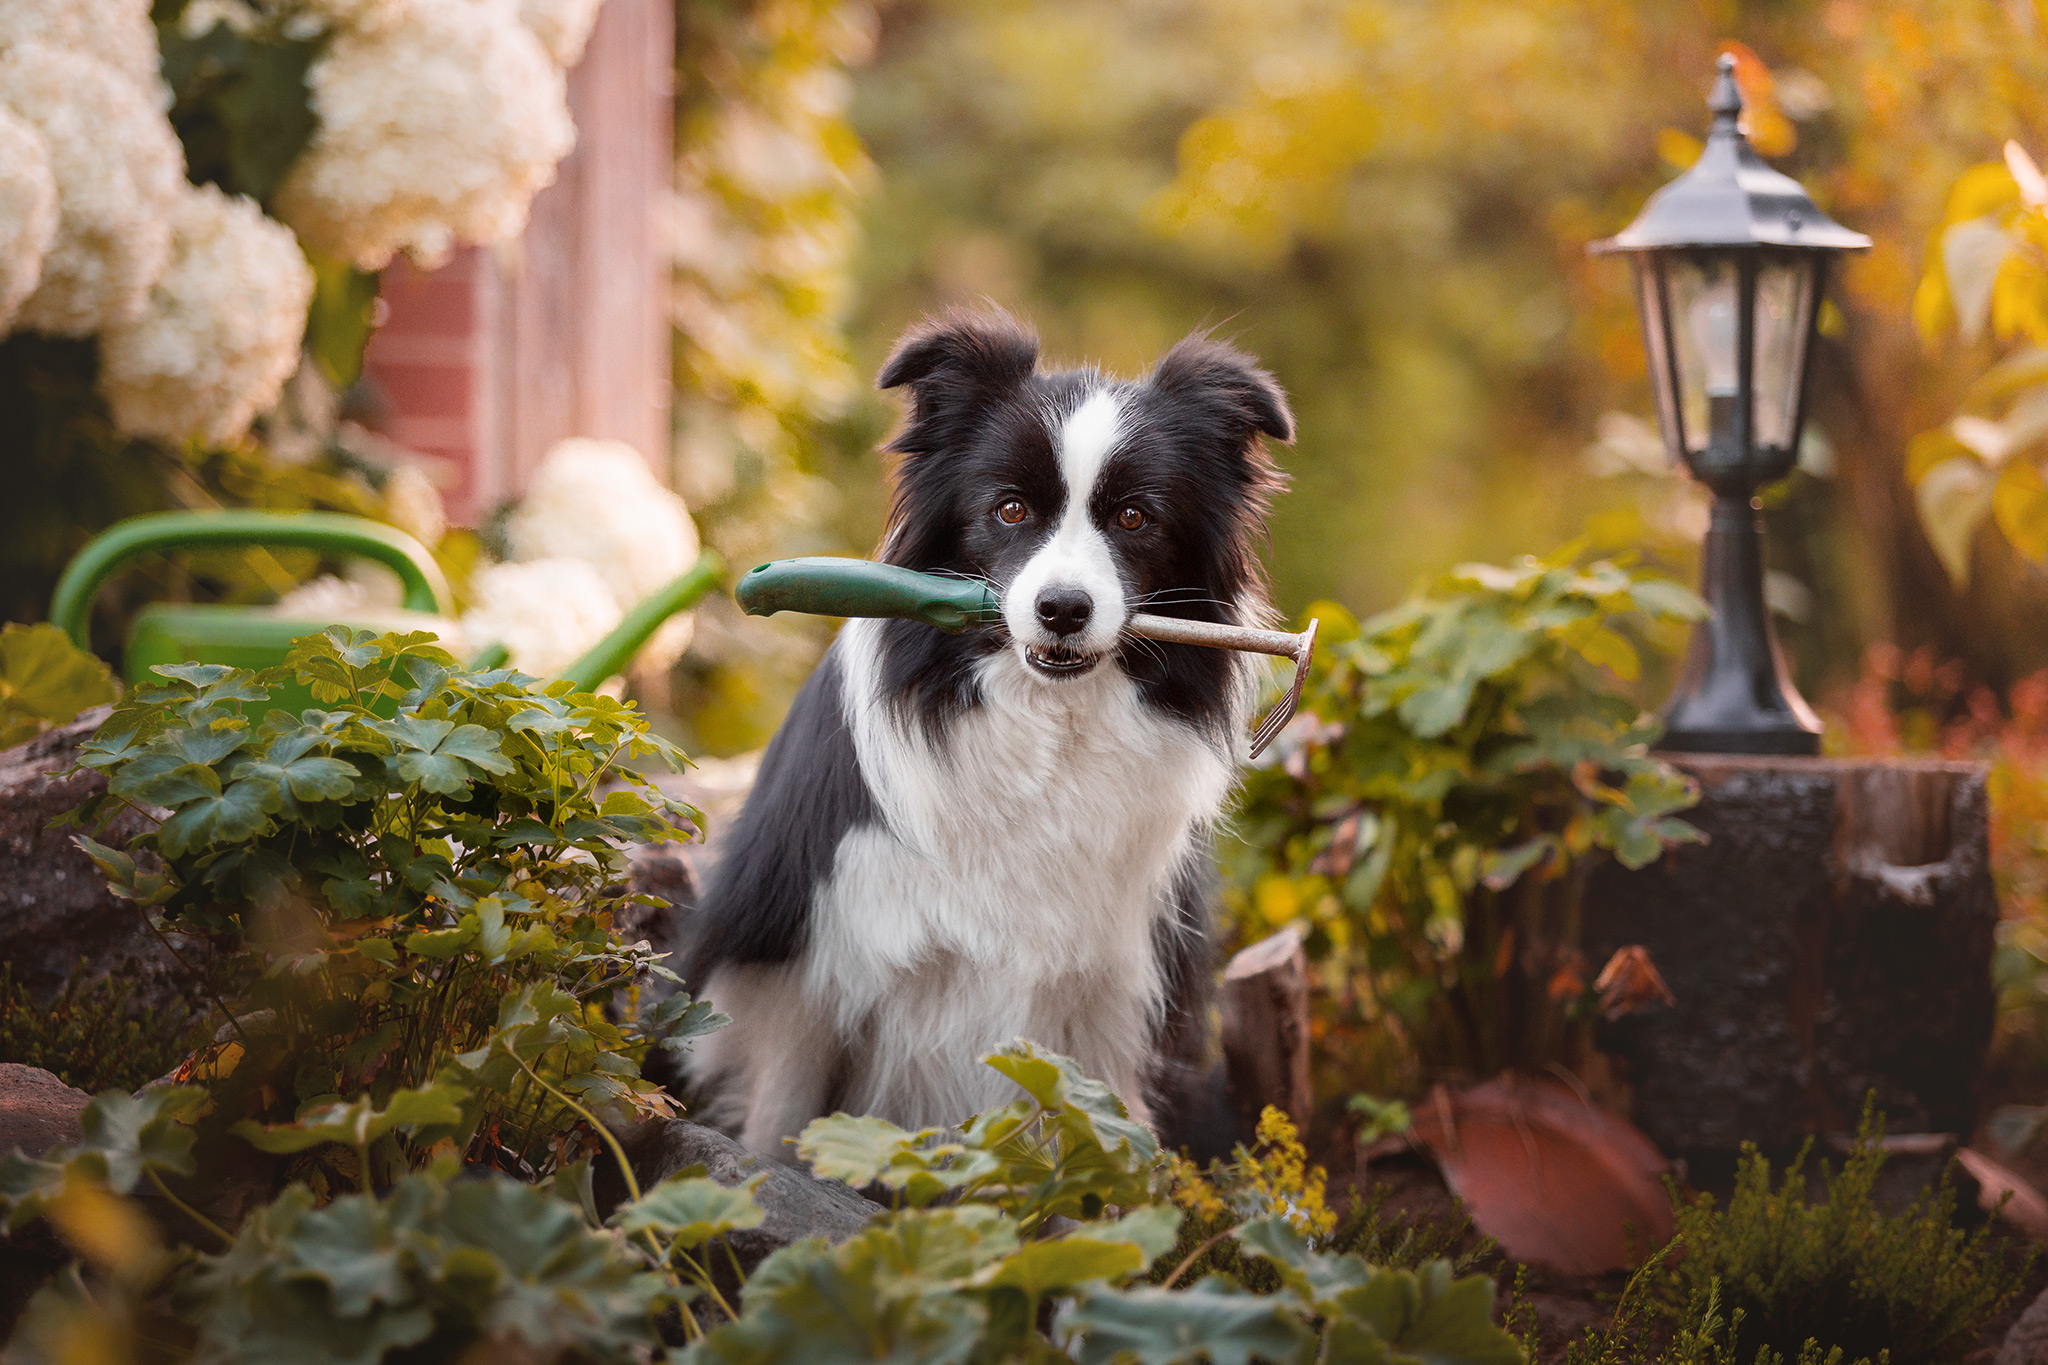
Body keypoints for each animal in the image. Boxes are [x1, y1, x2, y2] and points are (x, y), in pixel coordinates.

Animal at [688, 309, 1294, 1154]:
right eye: (1009, 509)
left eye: (1135, 517)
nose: (1063, 609)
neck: (1044, 724)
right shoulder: (805, 958)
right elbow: (780, 1116)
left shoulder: (1114, 997)